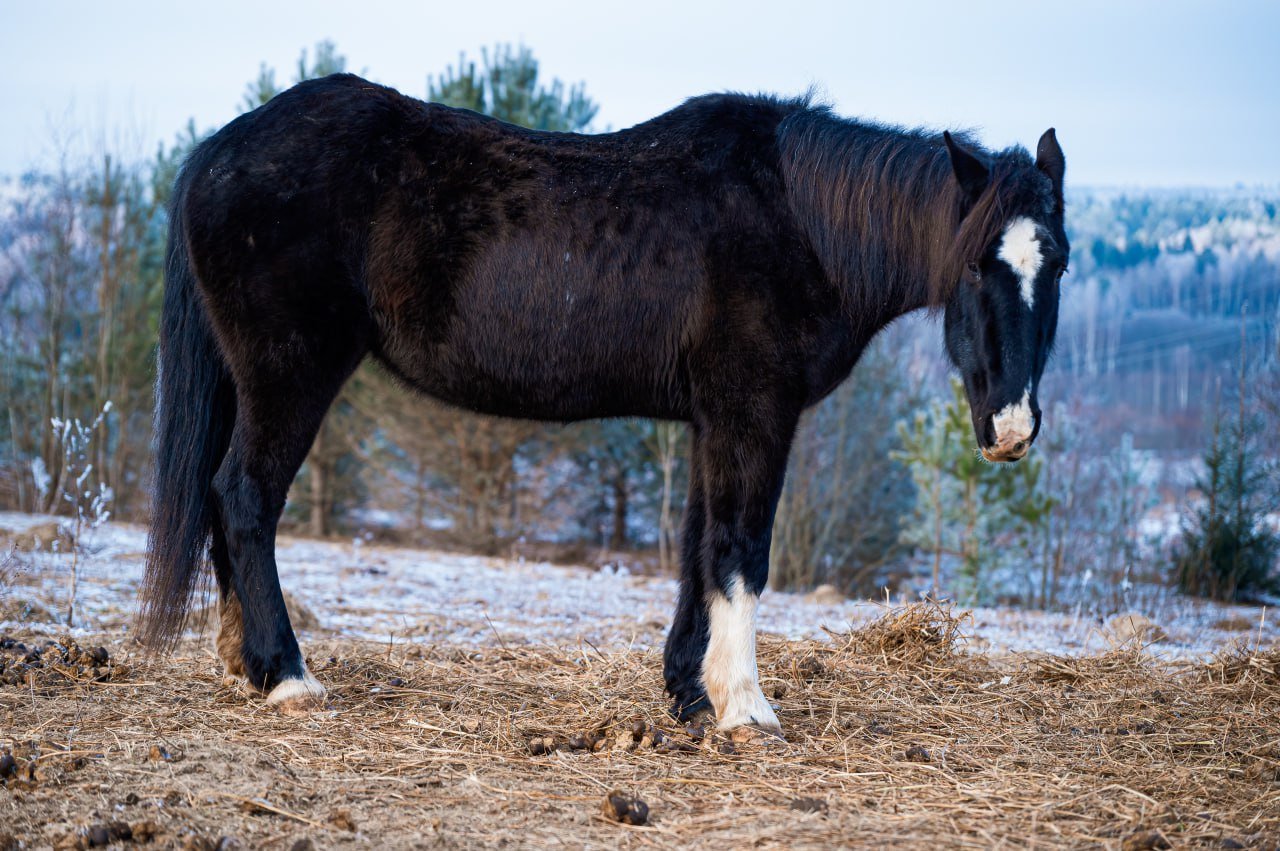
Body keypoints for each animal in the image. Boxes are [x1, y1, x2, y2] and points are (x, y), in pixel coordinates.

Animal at [139, 73, 1067, 736]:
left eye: (1055, 263)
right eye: (976, 262)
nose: (1011, 429)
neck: (801, 221)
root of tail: (222, 147)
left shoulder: (711, 421)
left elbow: (697, 552)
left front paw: (689, 696)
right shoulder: (753, 412)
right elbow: (741, 549)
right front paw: (747, 708)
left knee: (225, 503)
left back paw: (245, 665)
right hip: (290, 376)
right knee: (245, 499)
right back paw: (288, 676)